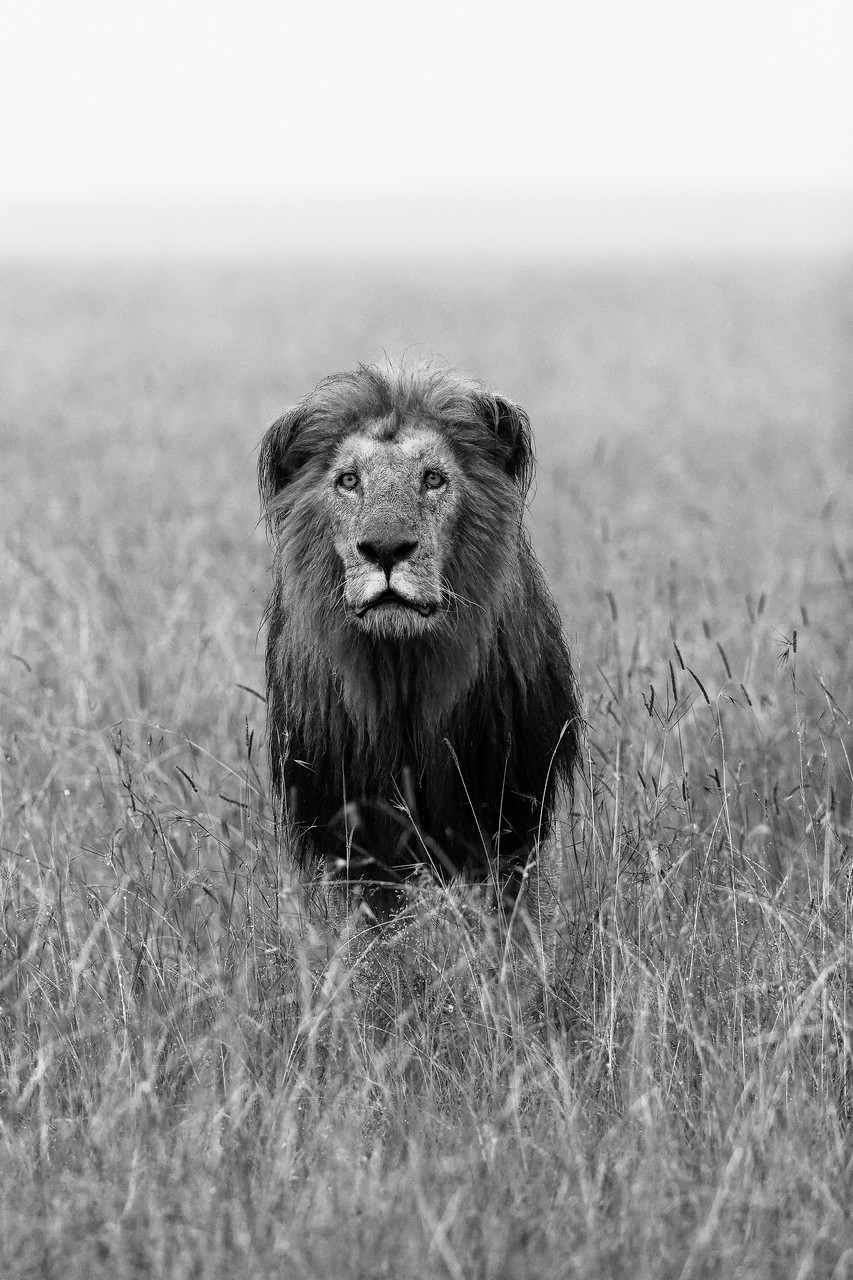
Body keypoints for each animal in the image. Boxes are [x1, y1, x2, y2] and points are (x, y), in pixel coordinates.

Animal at [258, 361, 580, 952]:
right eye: (349, 480)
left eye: (433, 479)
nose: (386, 549)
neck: (402, 670)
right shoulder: (357, 826)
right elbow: (378, 921)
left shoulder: (500, 811)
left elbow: (504, 910)